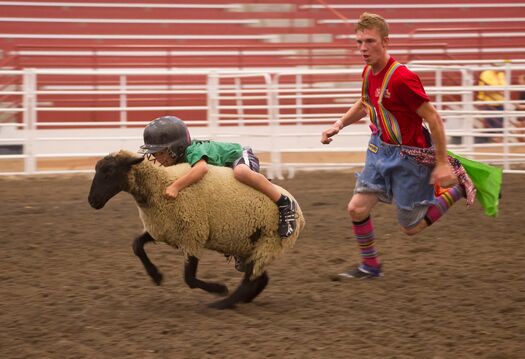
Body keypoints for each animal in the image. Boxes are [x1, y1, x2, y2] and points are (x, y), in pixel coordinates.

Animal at [88, 149, 304, 310]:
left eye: (109, 170)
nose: (92, 201)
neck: (160, 186)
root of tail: (300, 216)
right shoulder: (162, 230)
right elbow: (136, 245)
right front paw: (156, 276)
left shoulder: (193, 235)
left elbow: (189, 278)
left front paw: (218, 288)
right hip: (251, 247)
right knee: (260, 278)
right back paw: (243, 300)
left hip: (268, 244)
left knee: (249, 281)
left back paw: (222, 303)